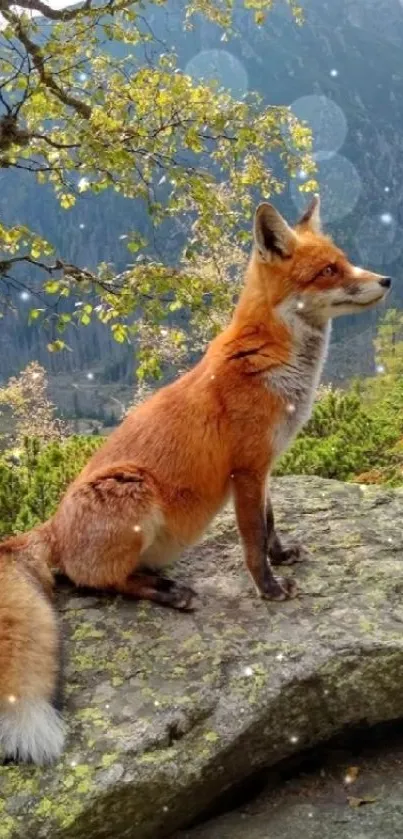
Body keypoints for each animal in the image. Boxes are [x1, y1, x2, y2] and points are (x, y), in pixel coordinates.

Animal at [0, 197, 392, 768]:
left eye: (344, 261)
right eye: (327, 271)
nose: (386, 279)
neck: (272, 363)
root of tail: (49, 526)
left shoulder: (265, 467)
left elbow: (271, 525)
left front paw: (282, 556)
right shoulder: (246, 470)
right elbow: (251, 541)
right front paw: (270, 590)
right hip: (132, 489)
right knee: (95, 581)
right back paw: (168, 592)